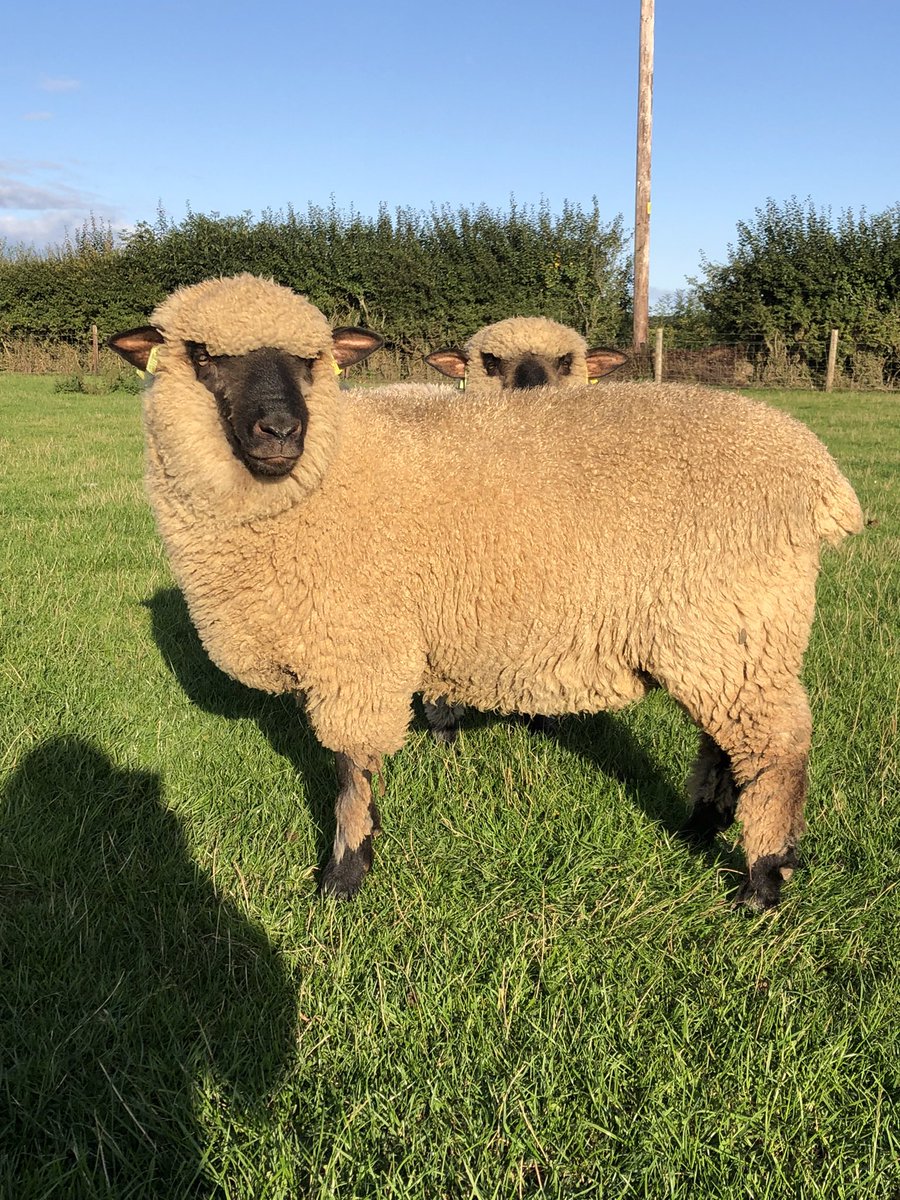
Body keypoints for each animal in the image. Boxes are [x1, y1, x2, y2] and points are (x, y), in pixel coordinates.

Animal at [109, 273, 863, 912]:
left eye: (312, 361)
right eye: (201, 354)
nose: (281, 431)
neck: (324, 477)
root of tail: (818, 472)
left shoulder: (360, 651)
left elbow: (350, 773)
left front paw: (344, 875)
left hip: (733, 621)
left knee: (776, 748)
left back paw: (762, 879)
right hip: (723, 632)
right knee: (725, 738)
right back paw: (702, 826)